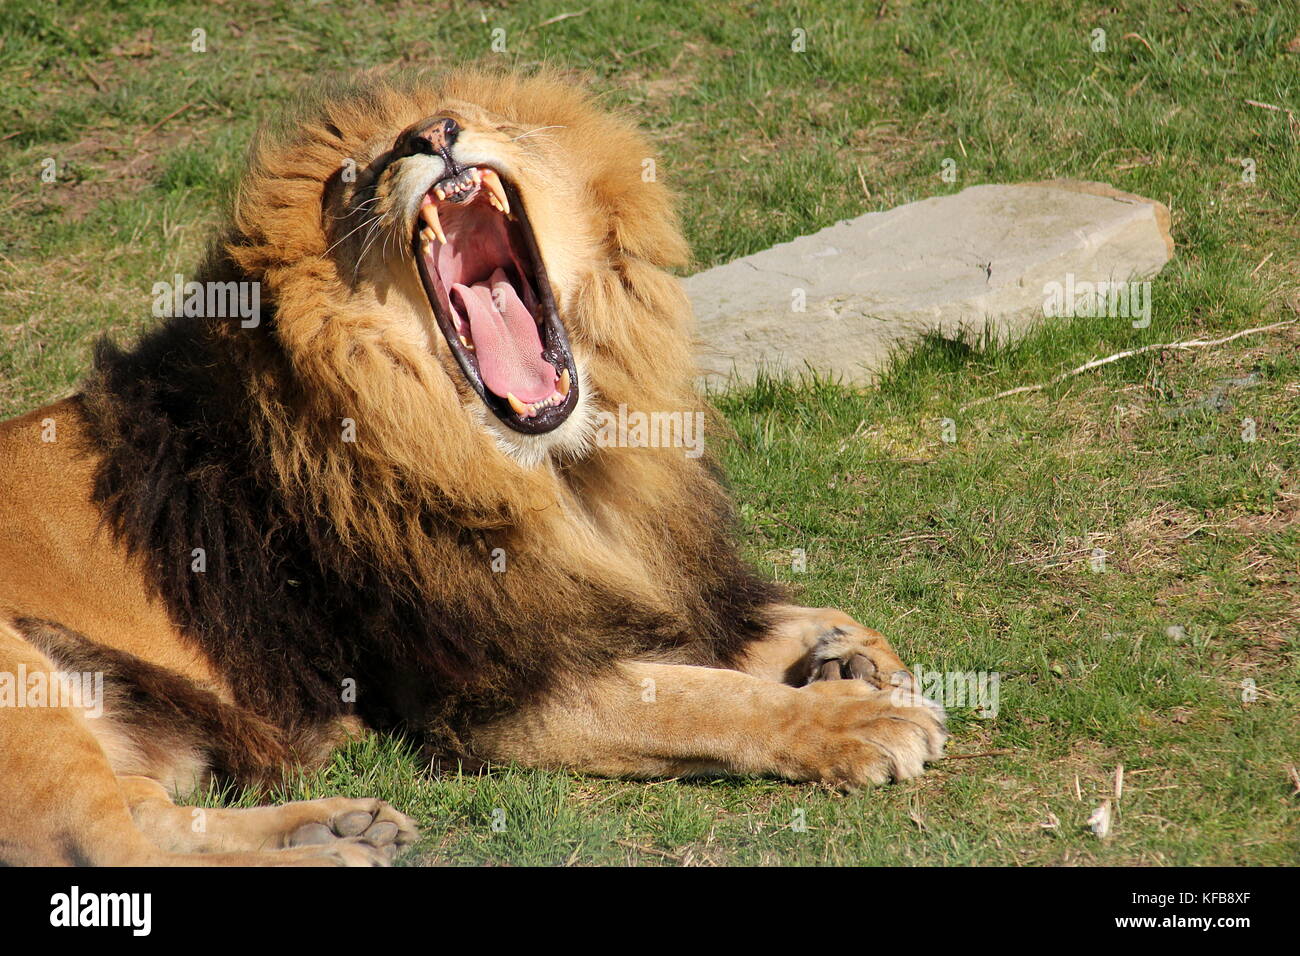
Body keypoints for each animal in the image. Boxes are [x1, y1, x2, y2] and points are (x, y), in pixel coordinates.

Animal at [0, 69, 945, 866]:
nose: (432, 134)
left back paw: (340, 826)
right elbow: (696, 699)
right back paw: (332, 854)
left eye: (471, 115)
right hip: (25, 686)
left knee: (143, 810)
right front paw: (861, 717)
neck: (549, 473)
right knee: (107, 845)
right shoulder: (485, 697)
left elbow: (754, 627)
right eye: (360, 173)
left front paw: (848, 654)